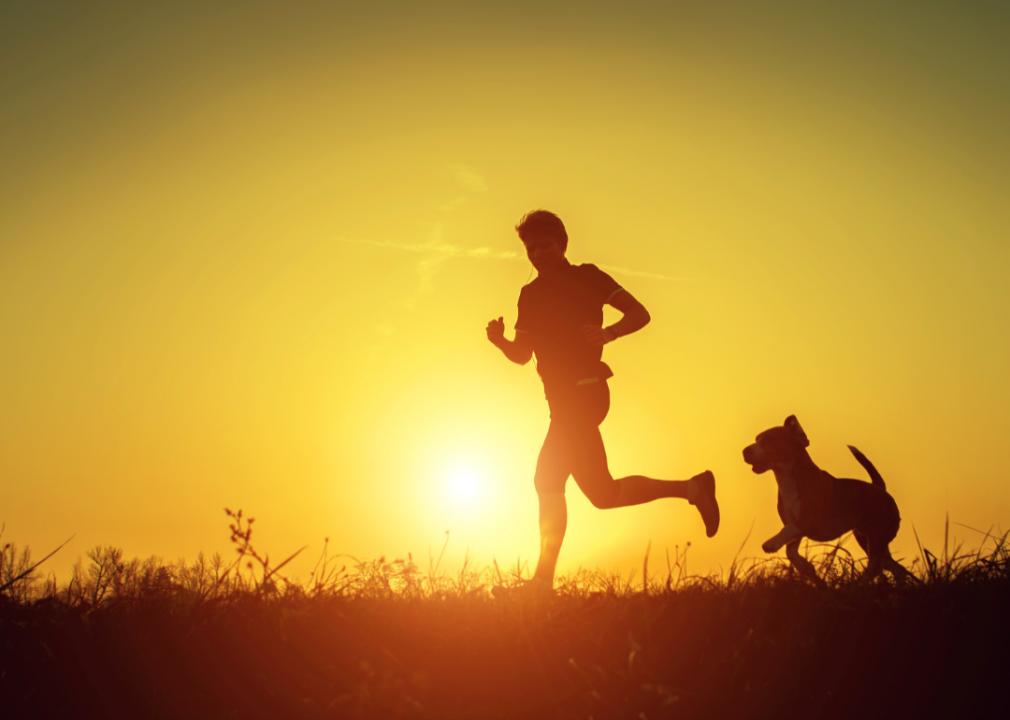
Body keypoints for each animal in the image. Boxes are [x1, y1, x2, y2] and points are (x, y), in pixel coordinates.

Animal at [743, 416, 909, 585]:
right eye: (757, 439)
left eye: (769, 439)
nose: (745, 451)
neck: (787, 480)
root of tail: (880, 488)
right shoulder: (795, 530)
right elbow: (791, 552)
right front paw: (808, 569)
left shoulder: (807, 521)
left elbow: (787, 530)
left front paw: (771, 543)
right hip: (869, 539)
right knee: (896, 568)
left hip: (877, 536)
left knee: (876, 566)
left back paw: (857, 584)